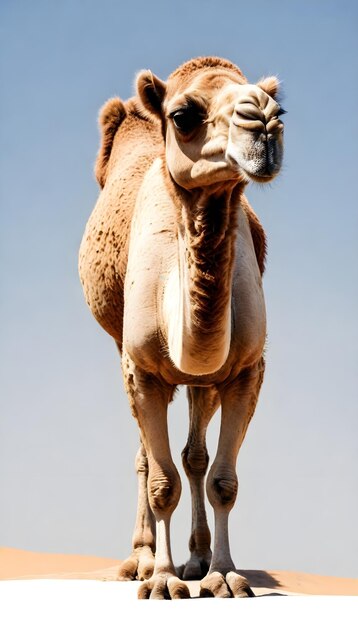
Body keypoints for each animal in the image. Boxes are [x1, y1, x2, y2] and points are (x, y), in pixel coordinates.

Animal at [79, 56, 286, 596]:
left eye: (279, 107)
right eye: (183, 115)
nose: (265, 119)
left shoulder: (245, 370)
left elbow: (221, 480)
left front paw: (224, 575)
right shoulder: (142, 369)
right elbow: (161, 481)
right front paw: (162, 581)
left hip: (202, 380)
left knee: (194, 455)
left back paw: (197, 559)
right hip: (122, 350)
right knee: (147, 456)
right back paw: (142, 561)